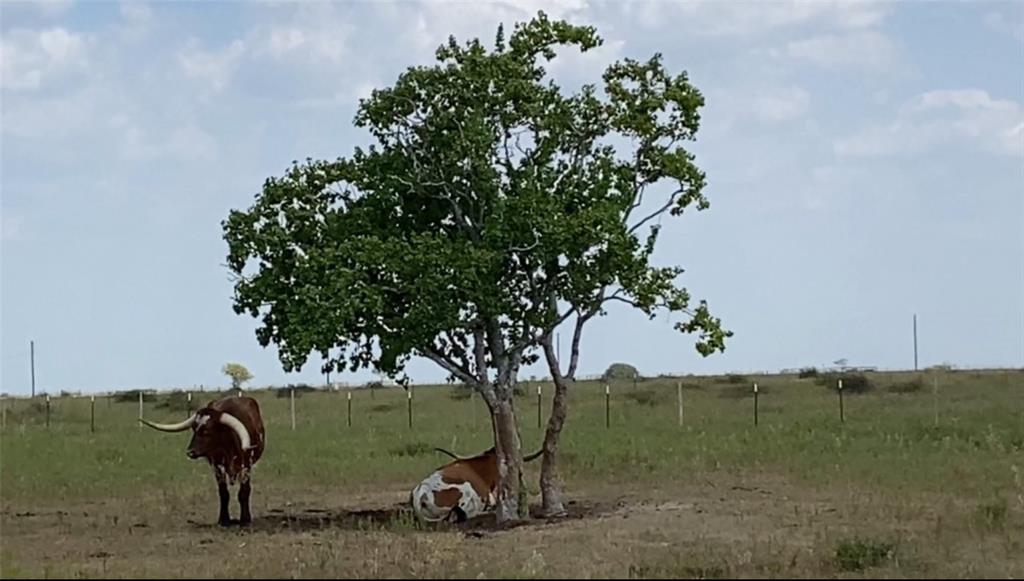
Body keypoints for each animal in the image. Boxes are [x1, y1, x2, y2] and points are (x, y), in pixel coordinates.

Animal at [138, 395, 266, 528]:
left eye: (207, 431)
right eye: (194, 429)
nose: (190, 452)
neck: (229, 440)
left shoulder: (246, 465)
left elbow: (244, 492)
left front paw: (245, 520)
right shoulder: (217, 465)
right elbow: (223, 493)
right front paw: (224, 520)